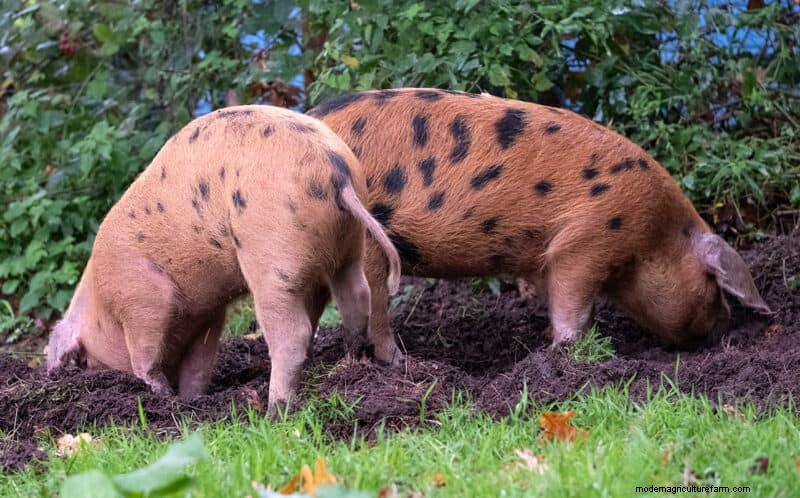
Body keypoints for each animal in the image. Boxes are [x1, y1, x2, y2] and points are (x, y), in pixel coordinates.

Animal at [46, 105, 401, 413]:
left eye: (85, 358)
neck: (102, 301)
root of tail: (334, 171)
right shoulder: (208, 311)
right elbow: (199, 365)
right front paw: (191, 400)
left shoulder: (142, 299)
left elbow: (145, 359)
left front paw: (163, 397)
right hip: (350, 244)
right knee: (356, 296)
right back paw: (352, 359)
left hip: (272, 259)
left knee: (293, 334)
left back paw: (275, 409)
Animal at [308, 88, 771, 364]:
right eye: (714, 285)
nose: (725, 329)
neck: (658, 234)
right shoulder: (588, 240)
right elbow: (574, 305)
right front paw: (570, 353)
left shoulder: (549, 260)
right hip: (370, 241)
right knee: (375, 307)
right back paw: (403, 362)